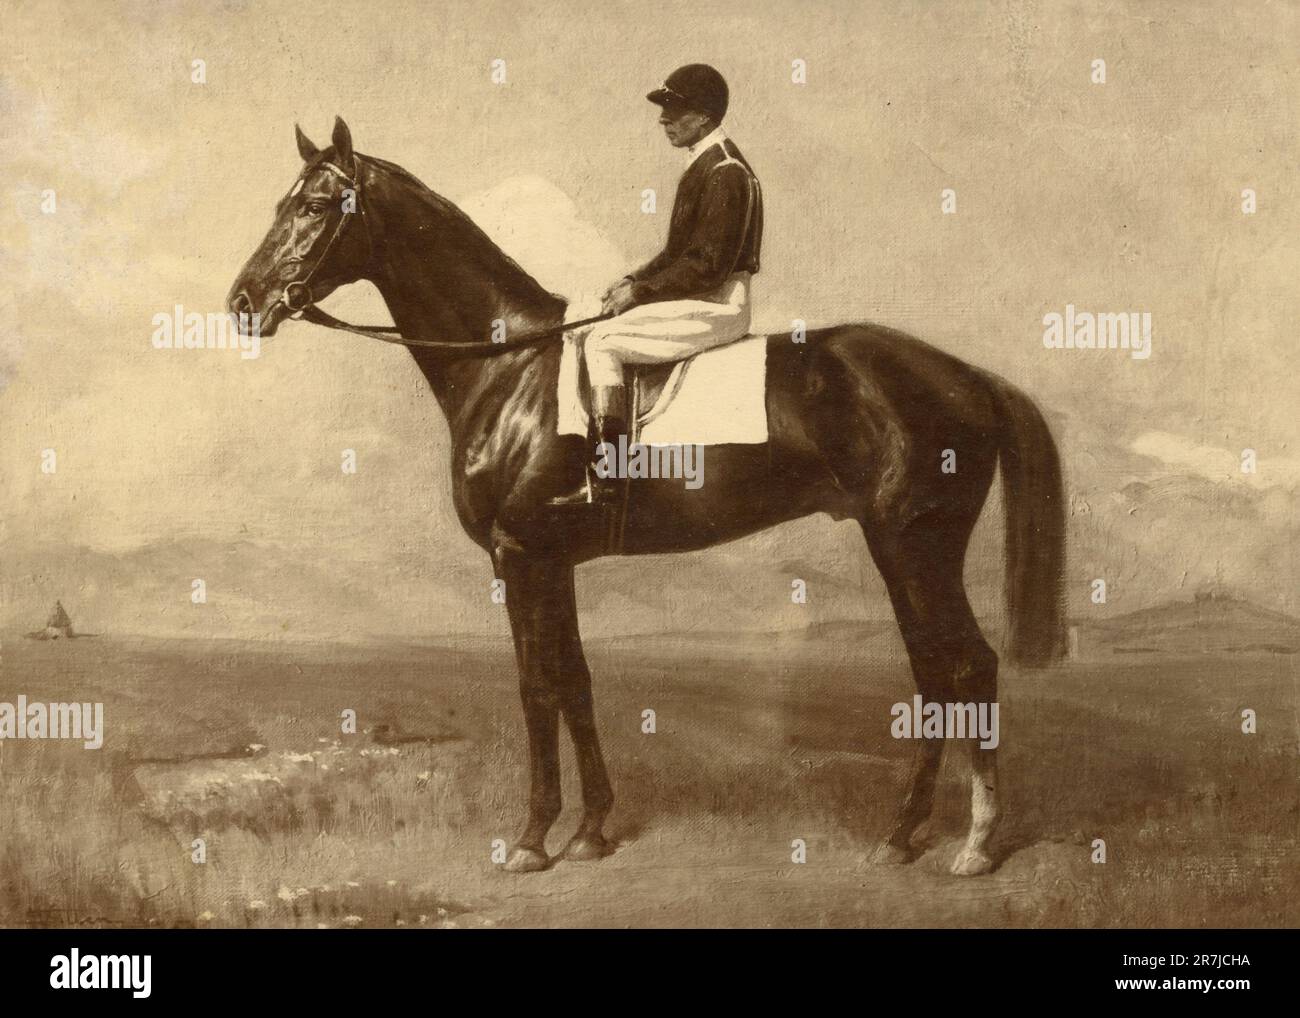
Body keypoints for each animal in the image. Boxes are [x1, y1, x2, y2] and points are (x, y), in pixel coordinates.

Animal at [228, 119, 1060, 878]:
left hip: (912, 545)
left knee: (966, 666)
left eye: (313, 205)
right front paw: (592, 830)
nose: (243, 301)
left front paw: (532, 840)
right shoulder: (552, 561)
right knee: (934, 671)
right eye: (282, 201)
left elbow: (536, 689)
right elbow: (575, 682)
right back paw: (903, 835)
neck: (510, 368)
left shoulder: (518, 555)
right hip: (904, 549)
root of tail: (968, 376)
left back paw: (975, 845)